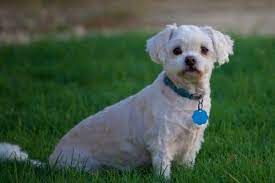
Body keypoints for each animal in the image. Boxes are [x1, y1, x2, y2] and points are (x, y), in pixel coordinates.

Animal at [0, 24, 234, 179]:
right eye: (177, 50)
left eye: (204, 49)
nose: (190, 59)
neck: (184, 96)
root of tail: (50, 161)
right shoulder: (161, 142)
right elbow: (163, 169)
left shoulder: (192, 142)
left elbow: (187, 164)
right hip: (82, 165)